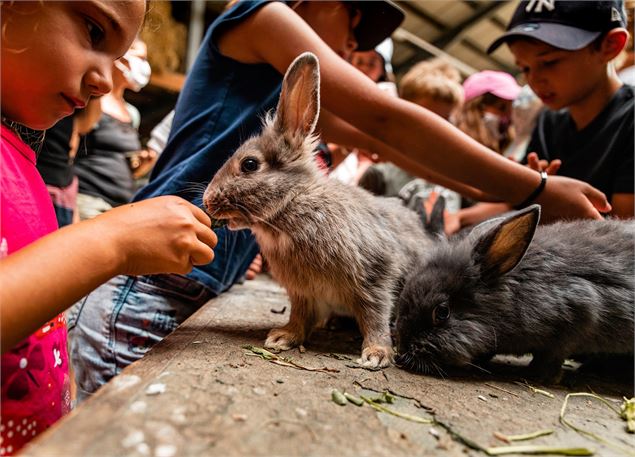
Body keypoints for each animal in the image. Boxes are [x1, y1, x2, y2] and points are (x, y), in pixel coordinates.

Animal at [206, 53, 434, 366]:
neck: (293, 204)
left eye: (250, 165)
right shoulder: (302, 292)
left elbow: (374, 316)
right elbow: (300, 315)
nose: (207, 200)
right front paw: (283, 337)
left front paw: (376, 354)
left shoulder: (376, 276)